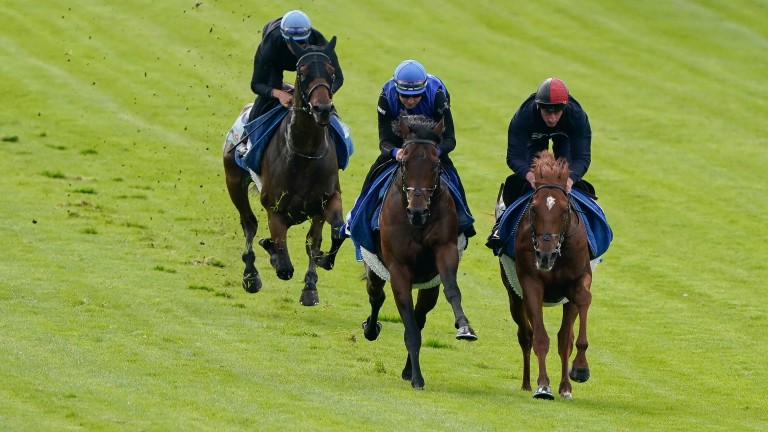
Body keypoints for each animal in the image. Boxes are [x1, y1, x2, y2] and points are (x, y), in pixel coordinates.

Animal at [220, 38, 344, 308]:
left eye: (331, 72)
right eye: (302, 72)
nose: (322, 109)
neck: (304, 153)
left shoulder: (327, 199)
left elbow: (331, 235)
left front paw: (313, 281)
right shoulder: (275, 208)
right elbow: (285, 267)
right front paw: (273, 254)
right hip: (233, 180)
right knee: (249, 223)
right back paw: (251, 275)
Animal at [360, 115, 474, 392]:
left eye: (436, 164)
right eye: (404, 162)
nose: (418, 211)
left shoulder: (444, 250)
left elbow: (452, 290)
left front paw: (464, 327)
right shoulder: (398, 269)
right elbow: (409, 326)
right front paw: (417, 379)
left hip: (428, 284)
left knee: (421, 315)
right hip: (374, 266)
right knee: (376, 296)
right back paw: (371, 329)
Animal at [500, 151, 592, 398]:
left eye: (565, 209)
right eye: (533, 208)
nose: (545, 255)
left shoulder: (578, 278)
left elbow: (583, 299)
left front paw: (580, 368)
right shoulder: (531, 283)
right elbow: (540, 337)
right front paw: (543, 385)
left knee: (564, 338)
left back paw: (565, 386)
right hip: (515, 295)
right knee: (526, 335)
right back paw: (527, 383)